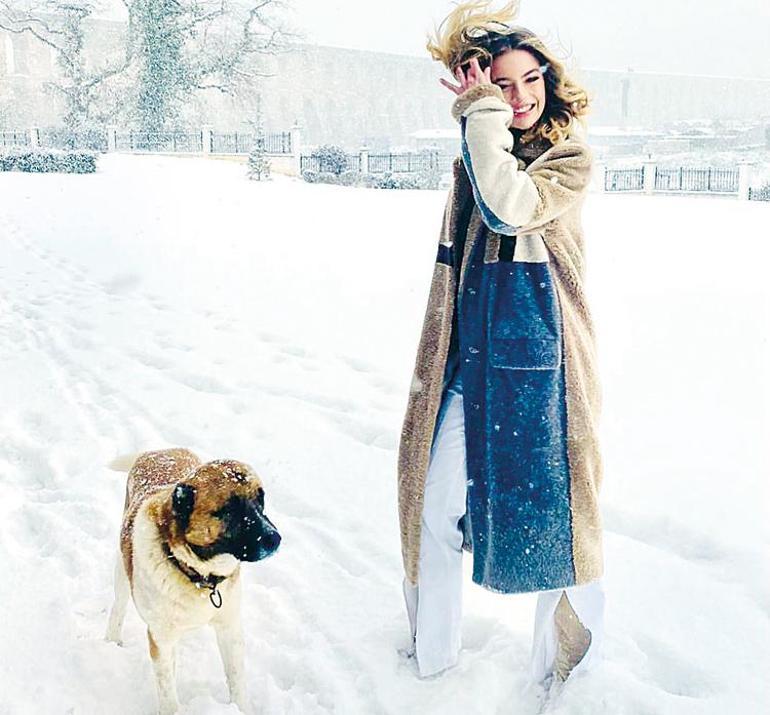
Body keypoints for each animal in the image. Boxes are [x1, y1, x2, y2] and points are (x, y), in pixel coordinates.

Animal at [104, 450, 280, 712]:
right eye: (230, 509)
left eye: (261, 500)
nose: (275, 539)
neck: (199, 575)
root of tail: (157, 451)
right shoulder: (160, 638)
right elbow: (168, 694)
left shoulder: (229, 627)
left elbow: (237, 681)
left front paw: (239, 709)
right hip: (123, 574)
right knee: (118, 608)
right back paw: (111, 641)